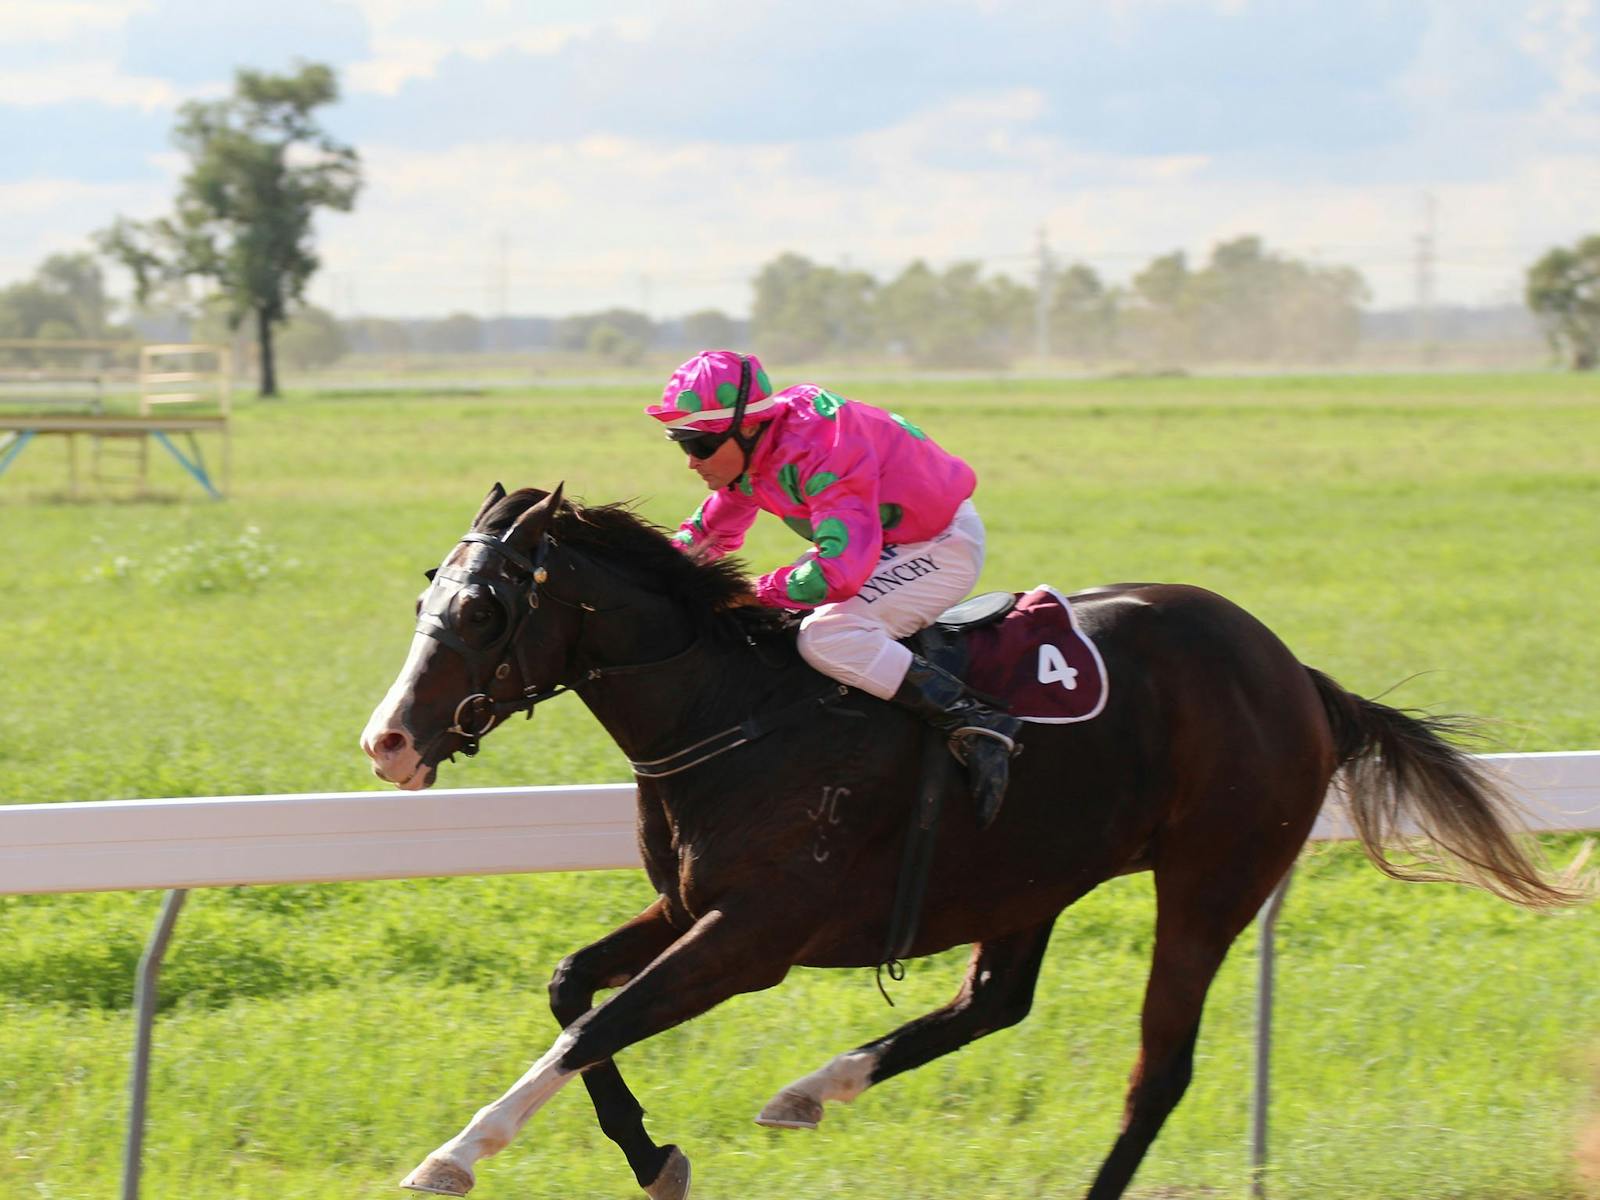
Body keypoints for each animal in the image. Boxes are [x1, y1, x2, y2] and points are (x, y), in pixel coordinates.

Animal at [363, 486, 1574, 1200]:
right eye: (428, 597)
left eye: (483, 611)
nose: (388, 740)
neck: (731, 708)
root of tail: (1297, 675)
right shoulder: (689, 903)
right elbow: (573, 988)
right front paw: (653, 1154)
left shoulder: (754, 936)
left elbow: (598, 1023)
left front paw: (452, 1154)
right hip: (1032, 876)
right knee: (996, 1001)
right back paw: (815, 1089)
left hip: (1211, 878)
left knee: (1158, 1073)